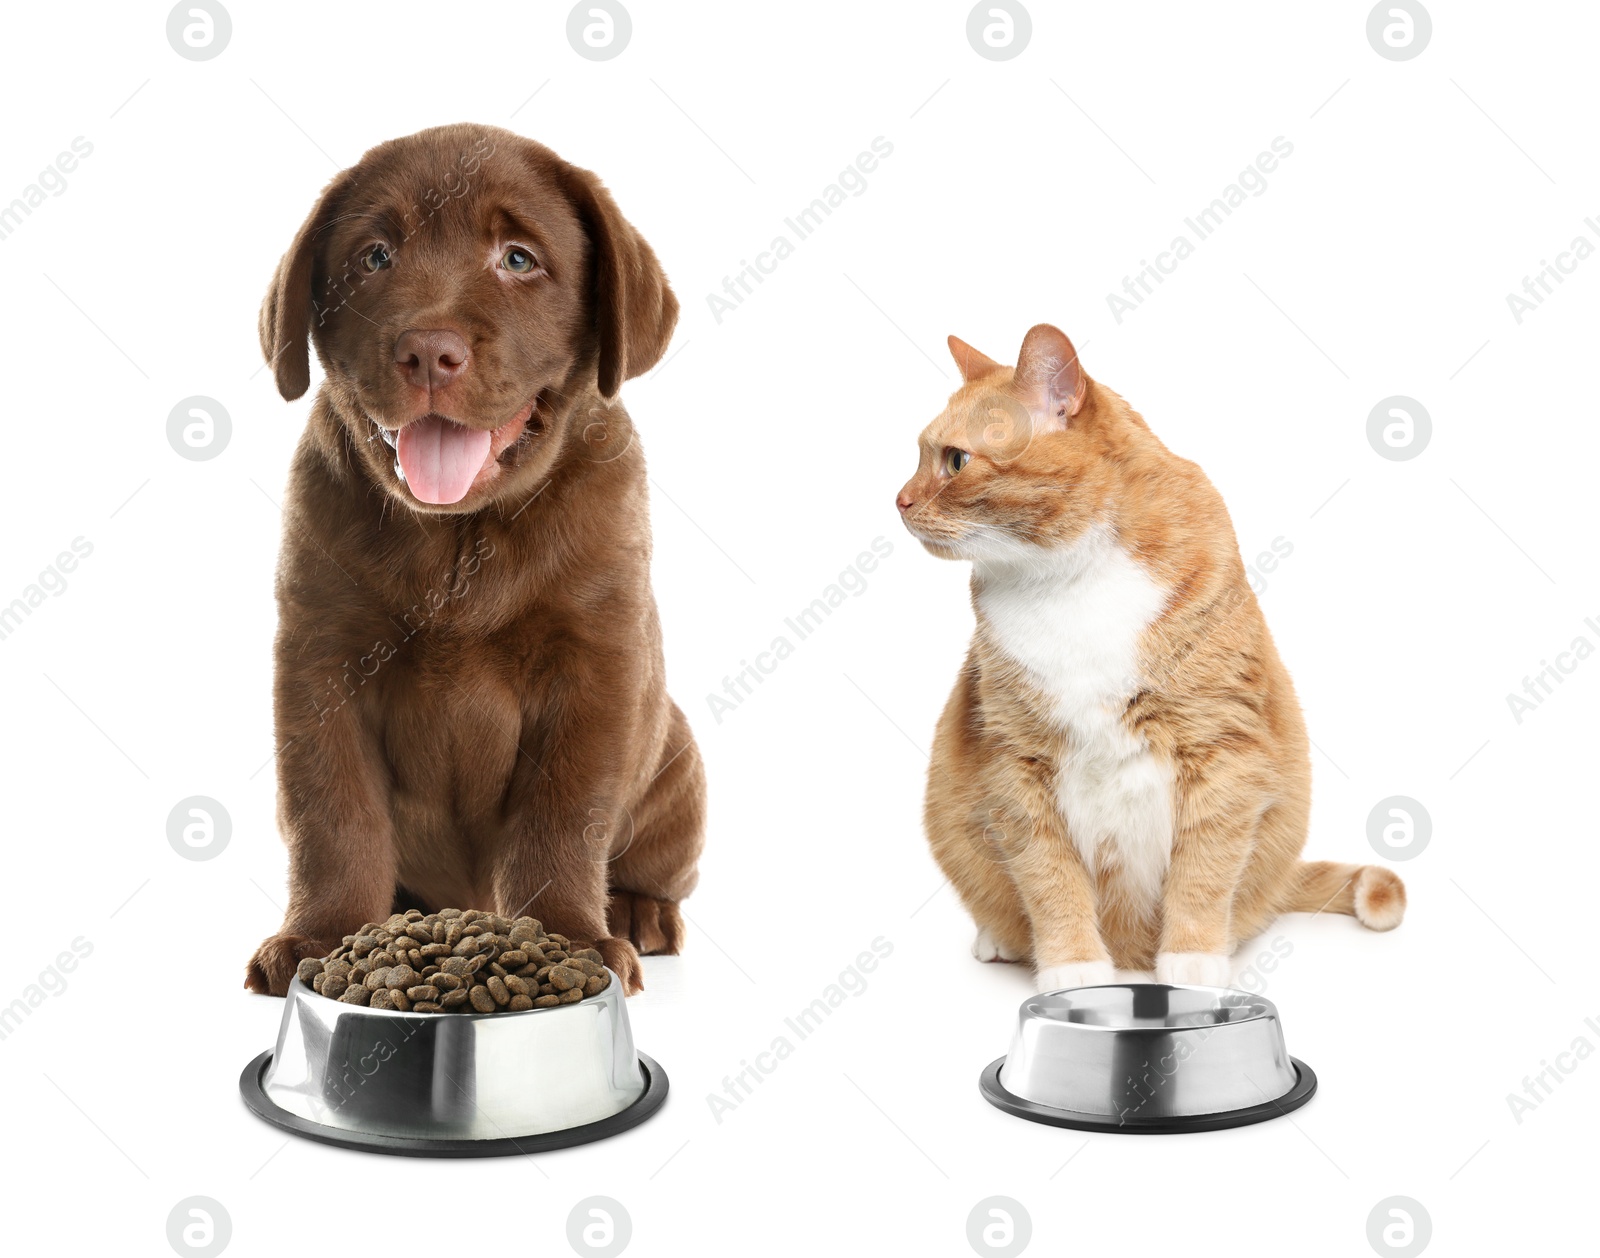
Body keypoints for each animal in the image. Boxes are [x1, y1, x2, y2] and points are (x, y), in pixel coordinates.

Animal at [896, 326, 1408, 992]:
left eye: (955, 460)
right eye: (917, 456)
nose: (898, 500)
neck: (1068, 579)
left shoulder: (1222, 747)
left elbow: (1205, 869)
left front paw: (1192, 962)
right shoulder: (1016, 764)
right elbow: (1050, 880)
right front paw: (1073, 968)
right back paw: (1002, 941)